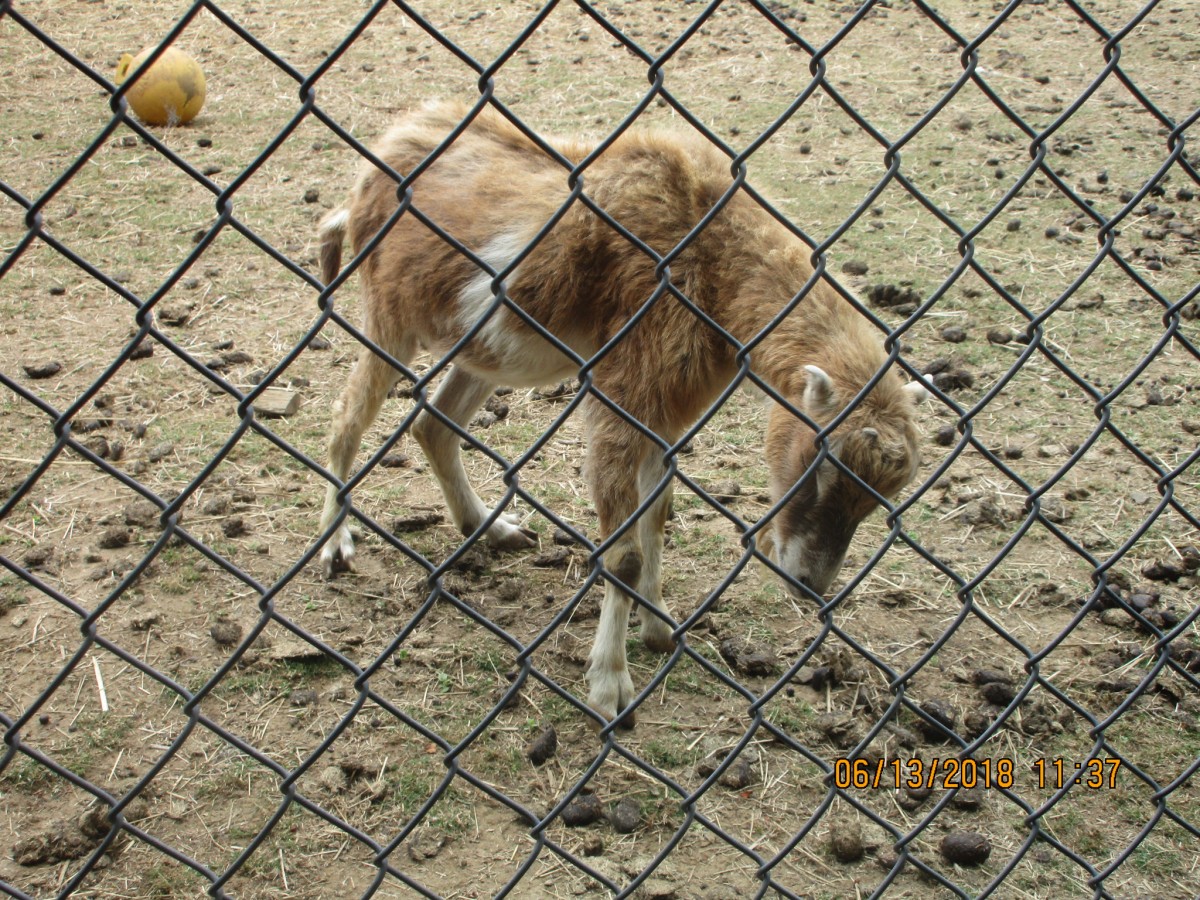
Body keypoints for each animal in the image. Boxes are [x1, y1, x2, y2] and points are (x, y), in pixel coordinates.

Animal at [315, 101, 927, 727]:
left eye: (881, 499)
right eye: (819, 463)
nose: (810, 584)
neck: (708, 251)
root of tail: (367, 177)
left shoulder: (664, 415)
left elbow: (656, 515)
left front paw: (658, 627)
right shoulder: (622, 393)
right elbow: (624, 554)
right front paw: (610, 686)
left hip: (480, 347)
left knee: (433, 424)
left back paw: (494, 530)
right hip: (390, 317)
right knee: (346, 421)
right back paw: (336, 546)